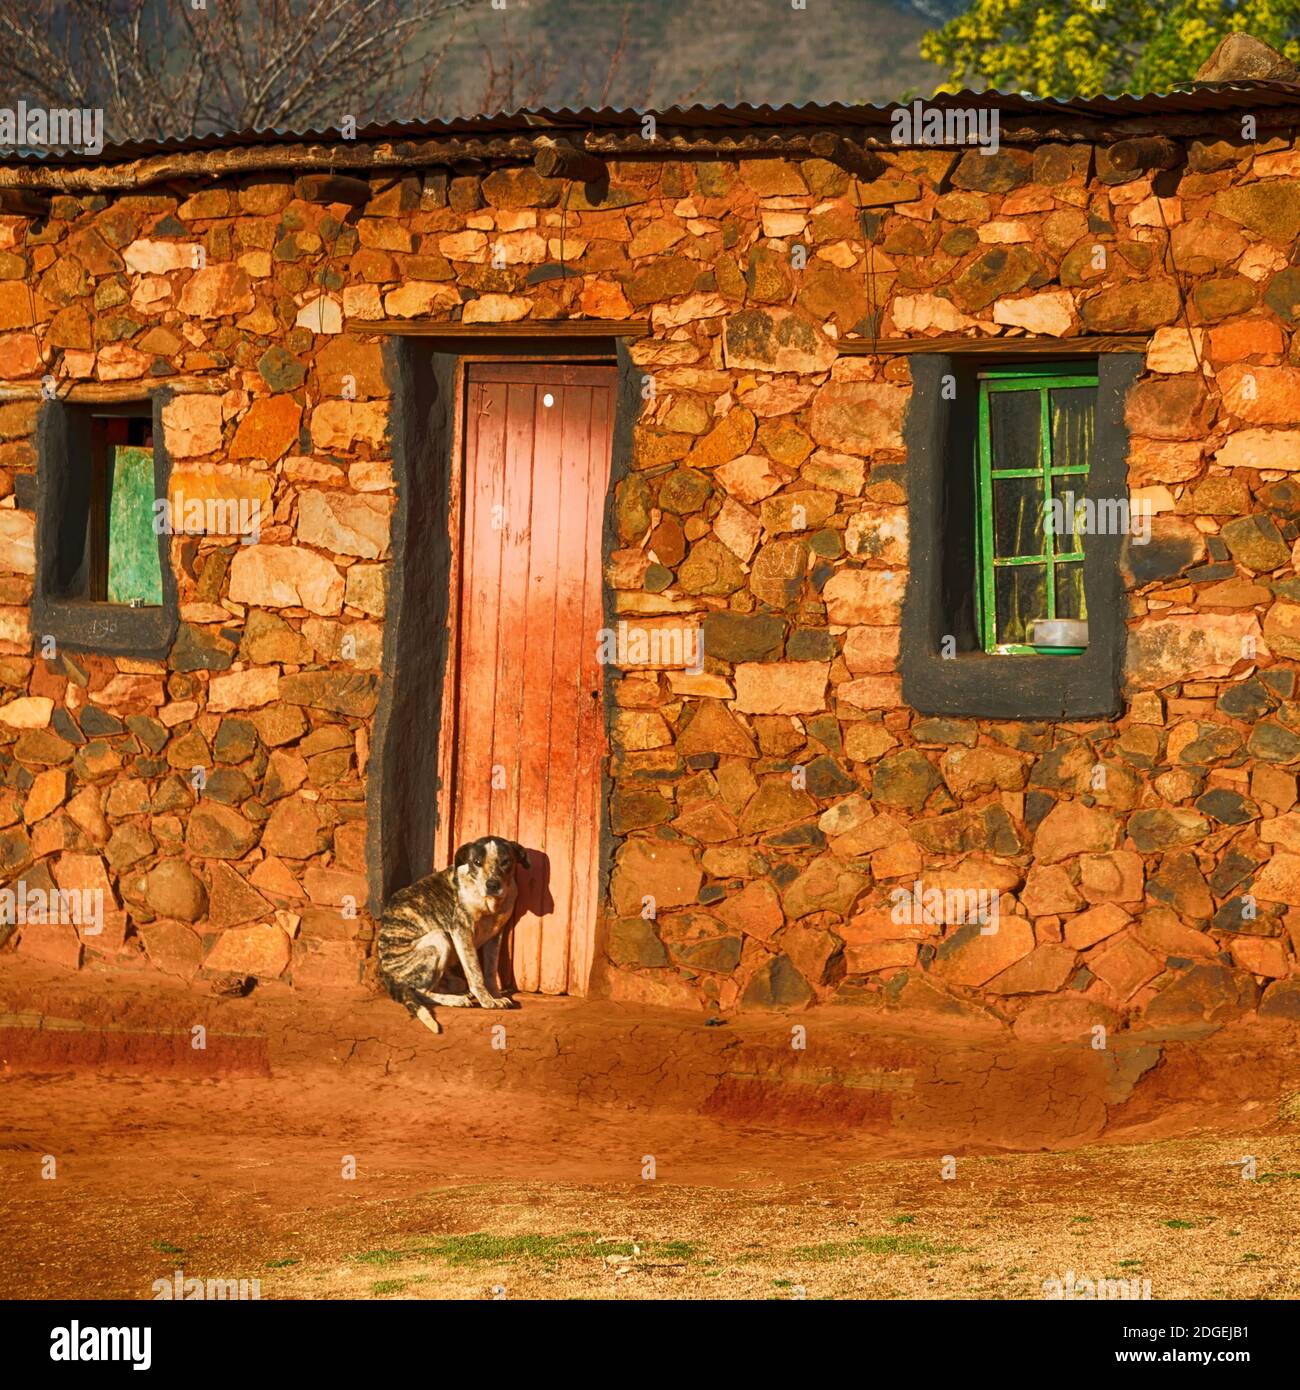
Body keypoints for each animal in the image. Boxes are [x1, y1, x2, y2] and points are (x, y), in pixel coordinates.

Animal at [375, 834, 528, 1034]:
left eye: (505, 862)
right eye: (477, 862)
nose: (492, 885)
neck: (488, 902)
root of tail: (387, 975)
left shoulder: (495, 936)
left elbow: (489, 972)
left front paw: (495, 996)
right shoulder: (462, 931)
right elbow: (475, 972)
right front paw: (487, 1001)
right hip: (439, 938)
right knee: (421, 992)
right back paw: (456, 1000)